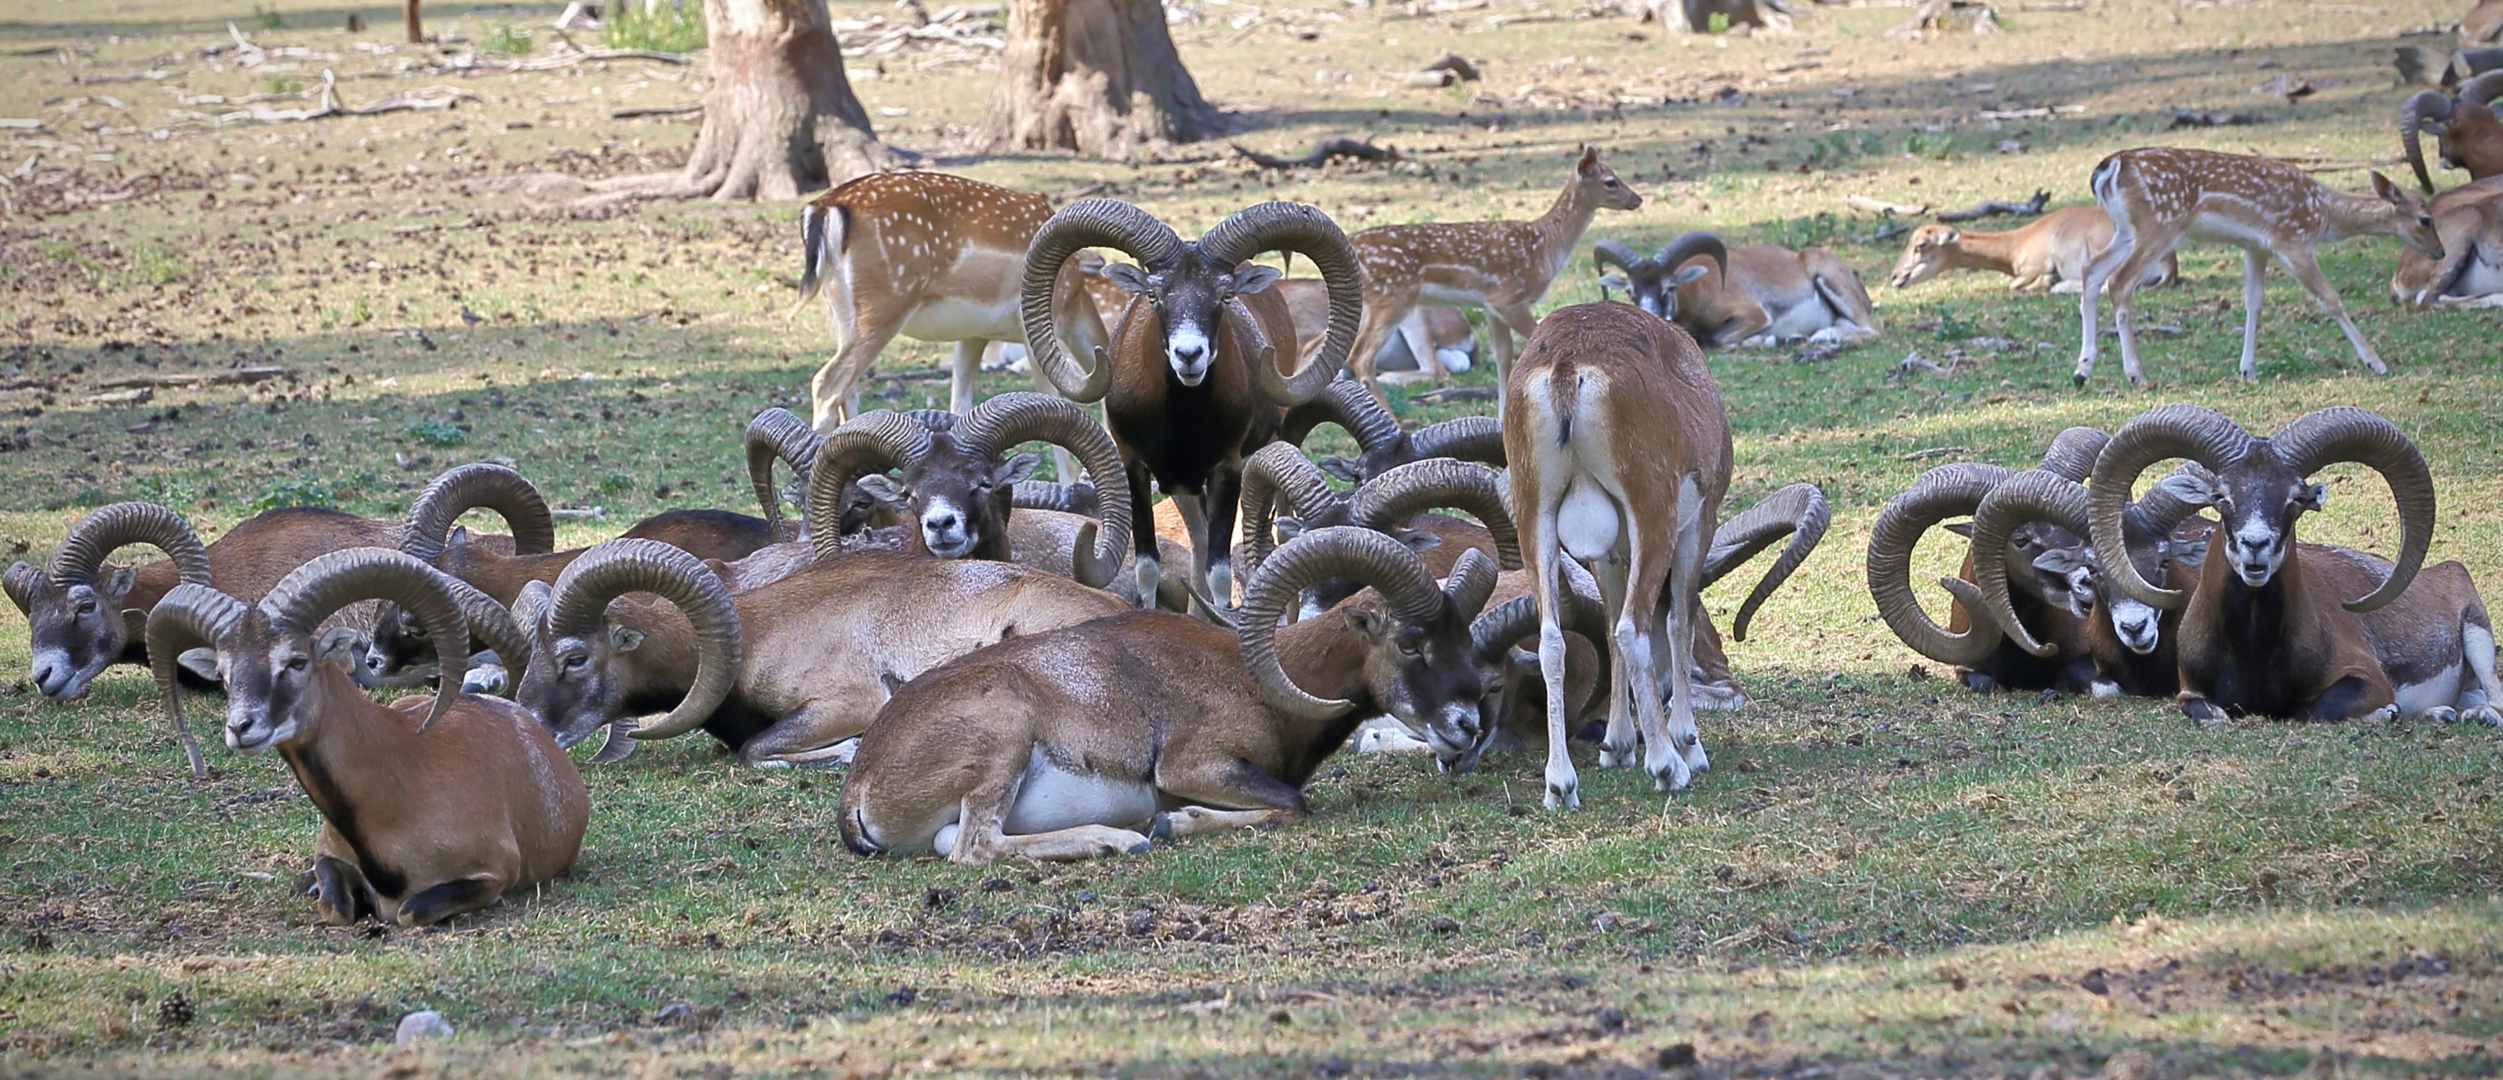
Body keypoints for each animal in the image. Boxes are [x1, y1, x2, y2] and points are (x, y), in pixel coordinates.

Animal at [800, 172, 1116, 430]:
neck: (1073, 300)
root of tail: (824, 206)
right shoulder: (1035, 327)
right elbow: (1052, 400)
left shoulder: (974, 334)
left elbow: (960, 405)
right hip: (885, 303)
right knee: (828, 382)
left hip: (842, 310)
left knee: (848, 390)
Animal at [1351, 147, 1641, 405]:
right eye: (1610, 181)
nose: (1637, 199)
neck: (1544, 247)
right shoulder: (1509, 297)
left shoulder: (1491, 305)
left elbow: (1504, 357)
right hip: (1393, 297)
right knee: (1362, 358)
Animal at [2072, 147, 2442, 388]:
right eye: (2425, 219)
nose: (2439, 251)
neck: (2325, 215)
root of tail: (2109, 167)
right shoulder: (2292, 241)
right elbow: (2329, 298)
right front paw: (2375, 362)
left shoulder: (2255, 247)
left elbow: (2253, 301)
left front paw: (2248, 369)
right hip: (2160, 223)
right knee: (2119, 282)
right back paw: (2136, 374)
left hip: (2126, 229)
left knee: (2091, 271)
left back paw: (2082, 371)